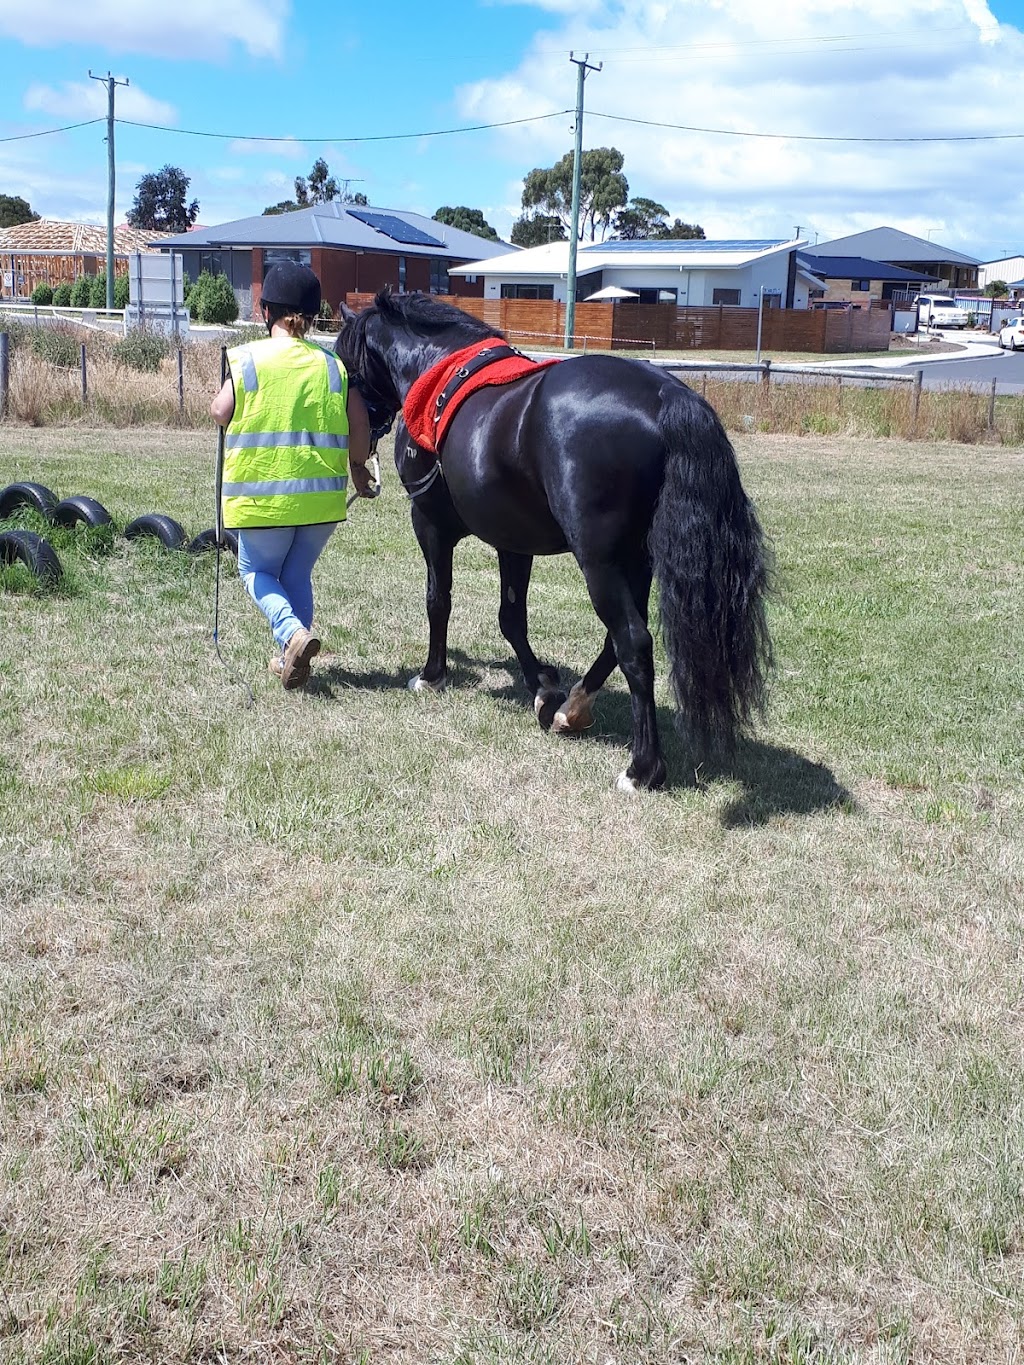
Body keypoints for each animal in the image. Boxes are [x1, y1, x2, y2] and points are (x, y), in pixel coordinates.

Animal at [341, 293, 775, 797]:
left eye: (348, 363)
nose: (359, 434)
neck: (436, 372)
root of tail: (667, 397)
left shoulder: (429, 524)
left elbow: (439, 601)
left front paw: (432, 675)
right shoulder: (513, 541)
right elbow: (511, 618)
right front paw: (546, 689)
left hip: (600, 562)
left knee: (633, 641)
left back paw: (642, 768)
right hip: (636, 560)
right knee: (619, 639)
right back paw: (575, 707)